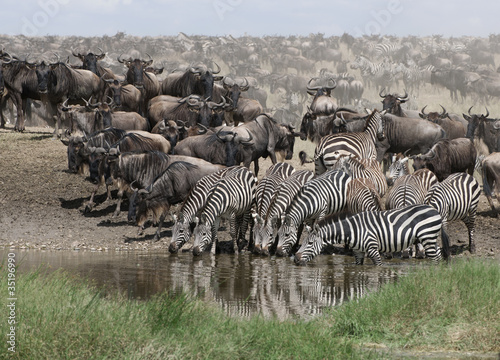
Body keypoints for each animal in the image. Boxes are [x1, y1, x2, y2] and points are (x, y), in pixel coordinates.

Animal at [292, 204, 450, 266]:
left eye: (310, 243)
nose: (295, 260)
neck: (352, 230)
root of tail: (435, 210)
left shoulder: (372, 248)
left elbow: (377, 267)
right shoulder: (358, 252)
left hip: (427, 237)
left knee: (435, 257)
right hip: (430, 239)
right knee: (438, 255)